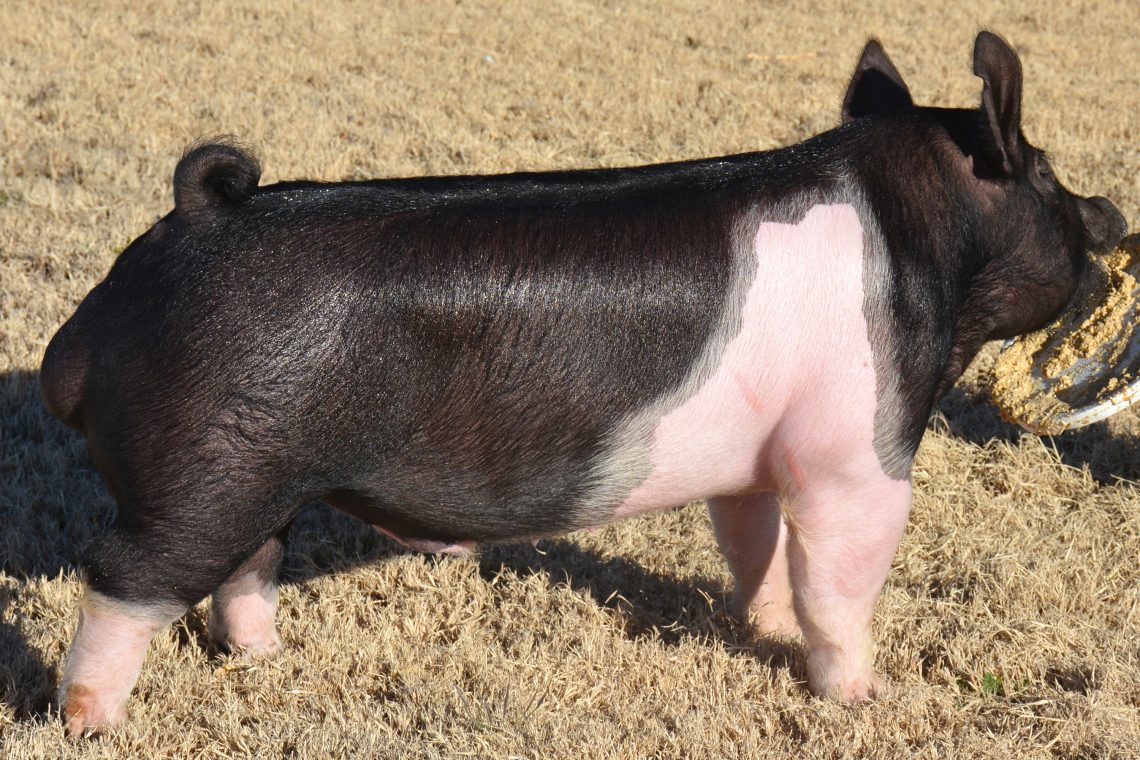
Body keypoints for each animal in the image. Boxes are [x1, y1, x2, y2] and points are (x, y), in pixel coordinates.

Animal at [40, 32, 1126, 736]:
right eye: (1045, 173)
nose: (1113, 211)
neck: (920, 236)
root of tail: (186, 229)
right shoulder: (856, 450)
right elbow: (840, 581)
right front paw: (864, 698)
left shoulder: (758, 455)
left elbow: (757, 548)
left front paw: (762, 629)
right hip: (206, 468)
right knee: (126, 578)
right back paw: (91, 724)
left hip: (261, 470)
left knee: (246, 566)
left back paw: (267, 661)